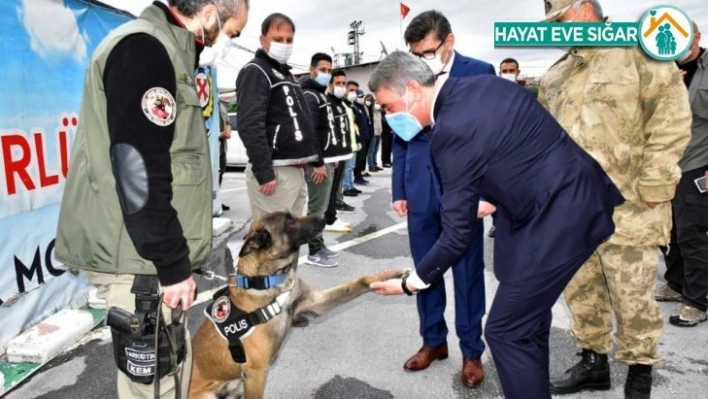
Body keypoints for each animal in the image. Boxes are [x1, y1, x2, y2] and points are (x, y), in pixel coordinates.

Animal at [189, 212, 404, 399]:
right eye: (289, 222)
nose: (324, 217)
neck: (269, 281)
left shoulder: (316, 301)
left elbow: (358, 282)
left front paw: (388, 276)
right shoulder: (255, 374)